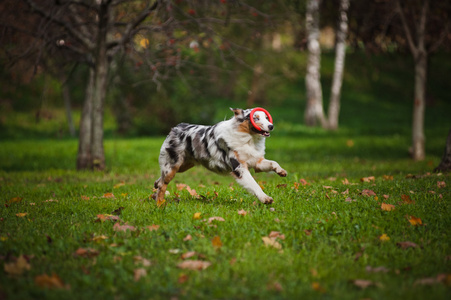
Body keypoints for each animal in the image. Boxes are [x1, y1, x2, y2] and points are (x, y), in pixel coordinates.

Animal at [152, 107, 286, 204]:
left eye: (266, 117)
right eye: (255, 118)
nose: (271, 126)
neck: (249, 139)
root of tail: (176, 127)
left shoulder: (256, 162)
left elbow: (273, 162)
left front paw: (281, 171)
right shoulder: (239, 168)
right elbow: (254, 184)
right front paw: (265, 198)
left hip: (184, 166)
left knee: (160, 180)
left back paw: (156, 188)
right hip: (173, 166)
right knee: (163, 184)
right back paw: (160, 203)